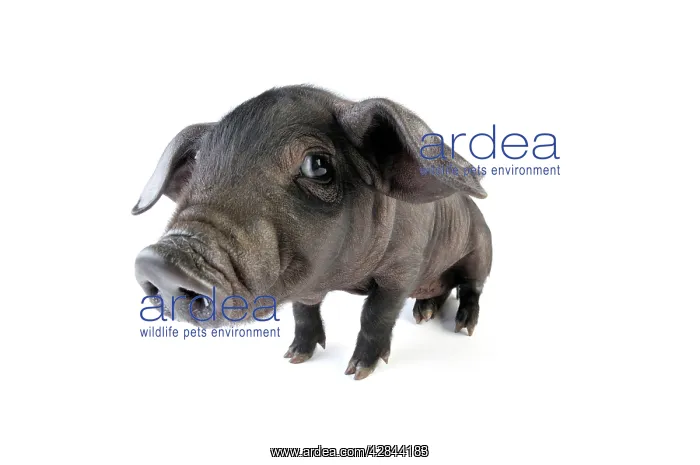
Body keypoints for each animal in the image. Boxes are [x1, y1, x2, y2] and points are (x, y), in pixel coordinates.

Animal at [133, 85, 492, 380]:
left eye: (317, 165)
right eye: (197, 166)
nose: (161, 262)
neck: (343, 278)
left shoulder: (402, 267)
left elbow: (375, 315)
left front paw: (356, 373)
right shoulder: (305, 282)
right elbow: (303, 311)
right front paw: (294, 357)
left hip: (481, 251)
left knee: (471, 288)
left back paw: (463, 327)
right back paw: (423, 314)